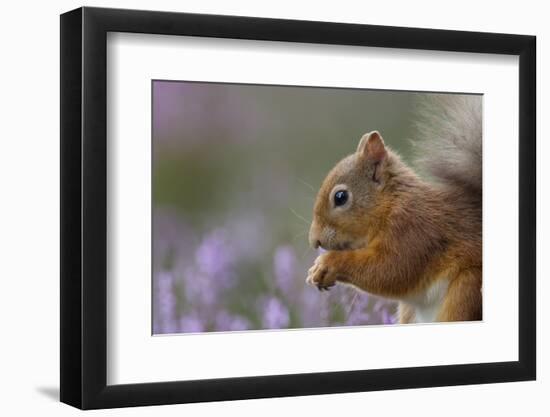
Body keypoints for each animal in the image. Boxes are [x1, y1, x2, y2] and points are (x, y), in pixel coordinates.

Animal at [308, 94, 480, 322]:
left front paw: (328, 263)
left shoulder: (414, 230)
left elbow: (391, 270)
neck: (390, 205)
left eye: (340, 197)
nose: (314, 241)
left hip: (466, 290)